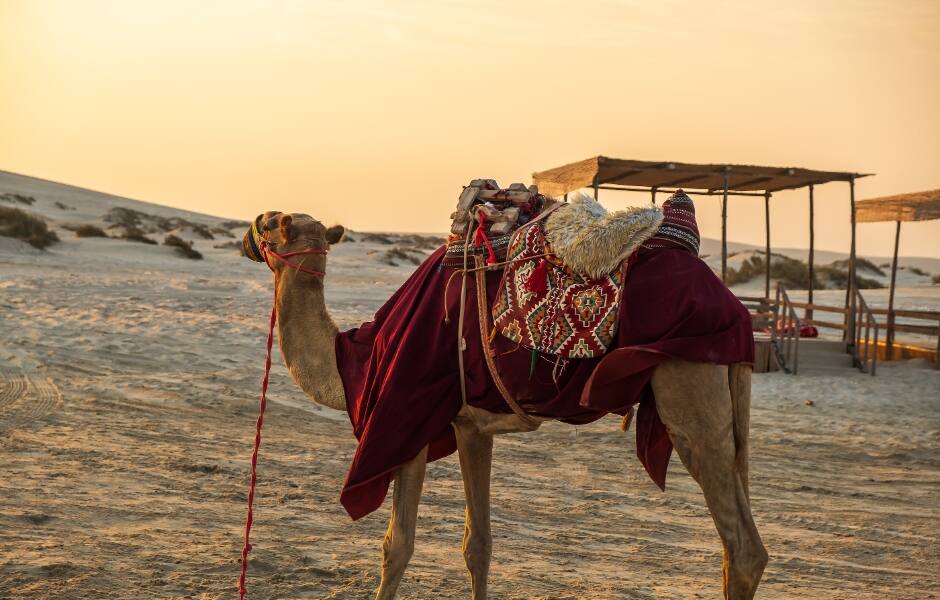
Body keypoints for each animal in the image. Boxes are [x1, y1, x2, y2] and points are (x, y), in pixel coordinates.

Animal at [246, 211, 768, 600]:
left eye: (271, 221)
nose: (248, 235)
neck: (357, 355)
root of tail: (737, 311)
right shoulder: (469, 426)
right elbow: (477, 544)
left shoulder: (405, 417)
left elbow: (397, 545)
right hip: (726, 403)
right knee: (744, 539)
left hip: (688, 389)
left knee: (741, 548)